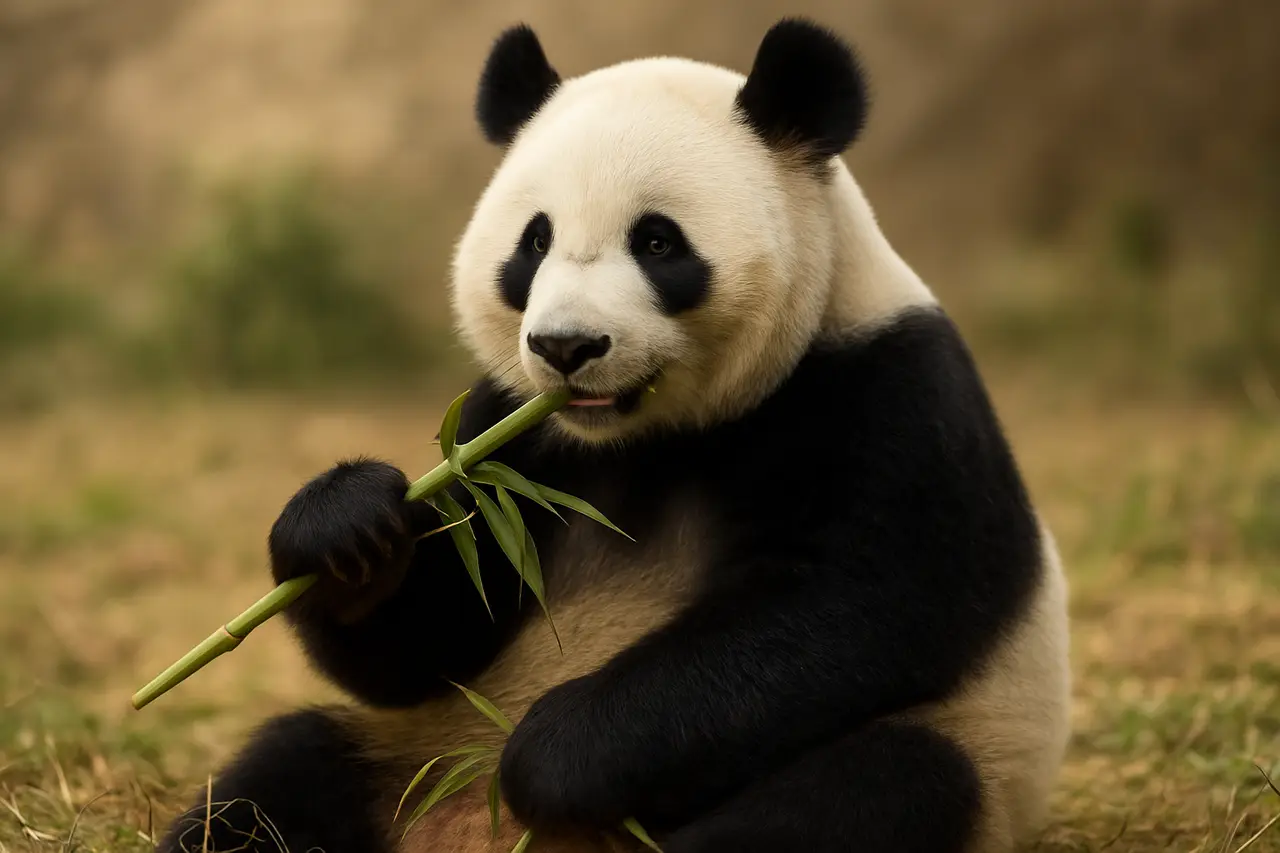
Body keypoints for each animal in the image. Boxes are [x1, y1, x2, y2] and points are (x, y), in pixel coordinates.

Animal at [159, 17, 1071, 853]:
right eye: (535, 240)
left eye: (658, 241)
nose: (566, 347)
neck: (645, 440)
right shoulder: (512, 439)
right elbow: (431, 636)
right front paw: (348, 525)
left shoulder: (884, 391)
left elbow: (852, 603)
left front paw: (554, 754)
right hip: (408, 758)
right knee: (281, 780)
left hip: (962, 758)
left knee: (872, 789)